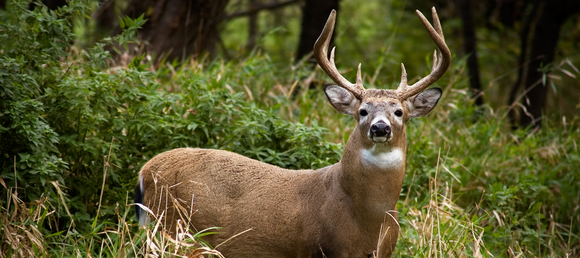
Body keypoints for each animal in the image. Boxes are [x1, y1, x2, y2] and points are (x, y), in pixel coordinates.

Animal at [135, 6, 448, 258]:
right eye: (362, 111)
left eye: (399, 112)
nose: (380, 127)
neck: (369, 219)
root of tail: (144, 170)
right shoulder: (326, 248)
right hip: (172, 227)